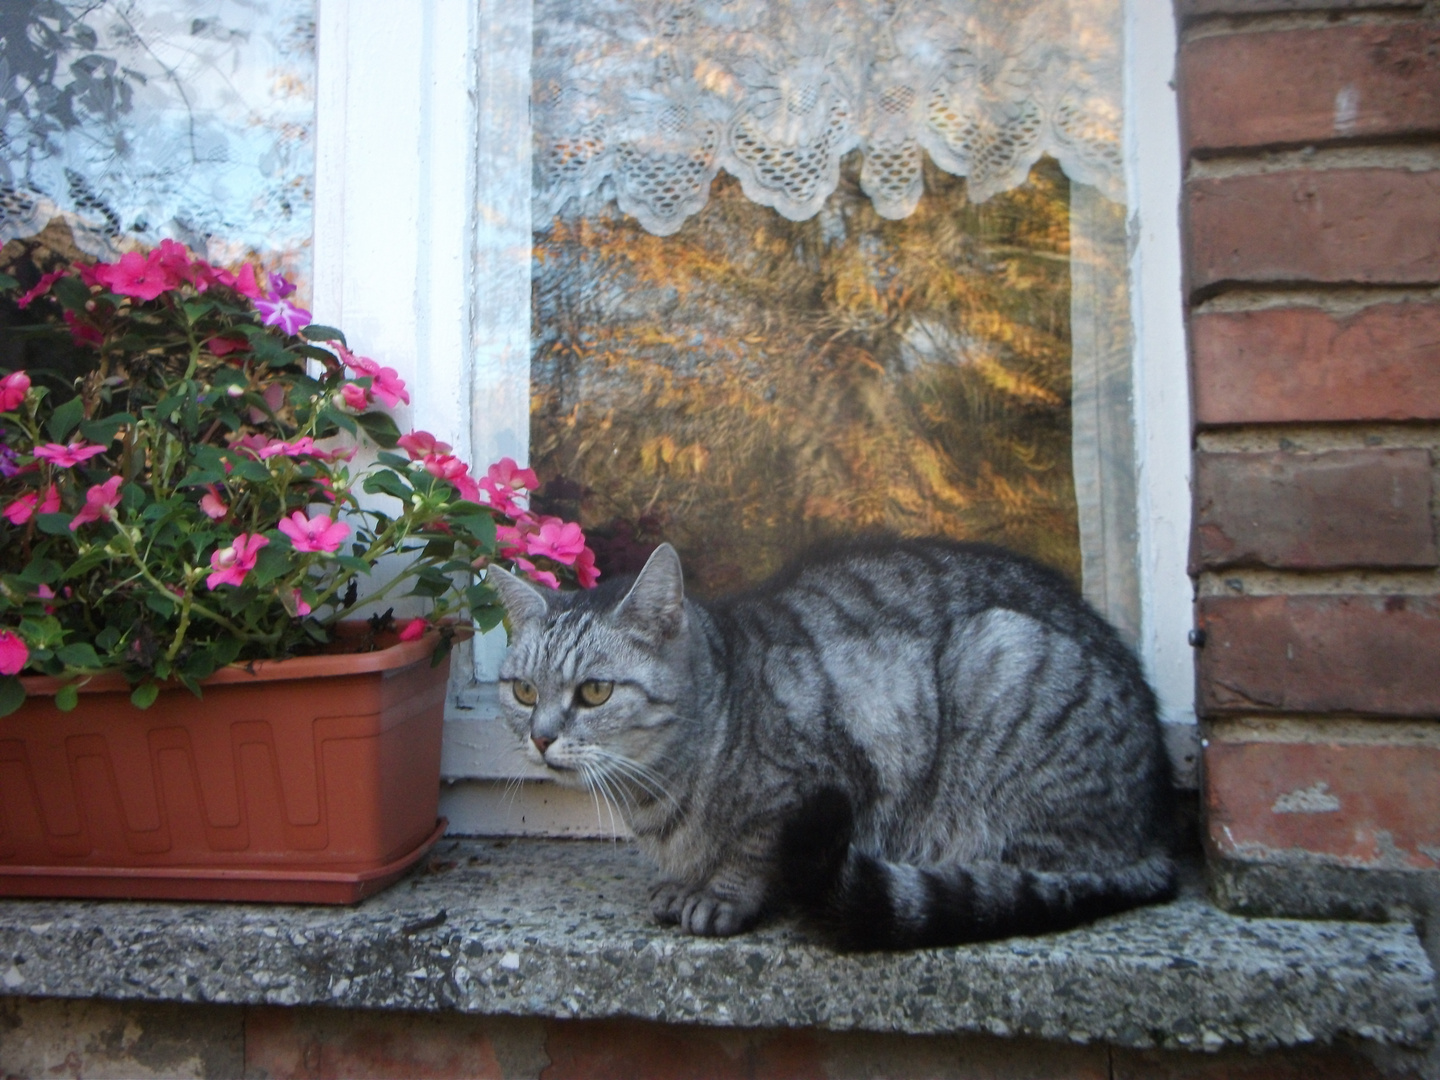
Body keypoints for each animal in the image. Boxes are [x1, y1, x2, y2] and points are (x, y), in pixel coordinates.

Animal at [489, 538, 1175, 944]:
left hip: (1002, 656)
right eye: (523, 691)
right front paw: (685, 883)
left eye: (595, 692)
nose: (542, 738)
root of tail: (1152, 832)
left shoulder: (825, 769)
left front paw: (719, 894)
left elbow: (755, 849)